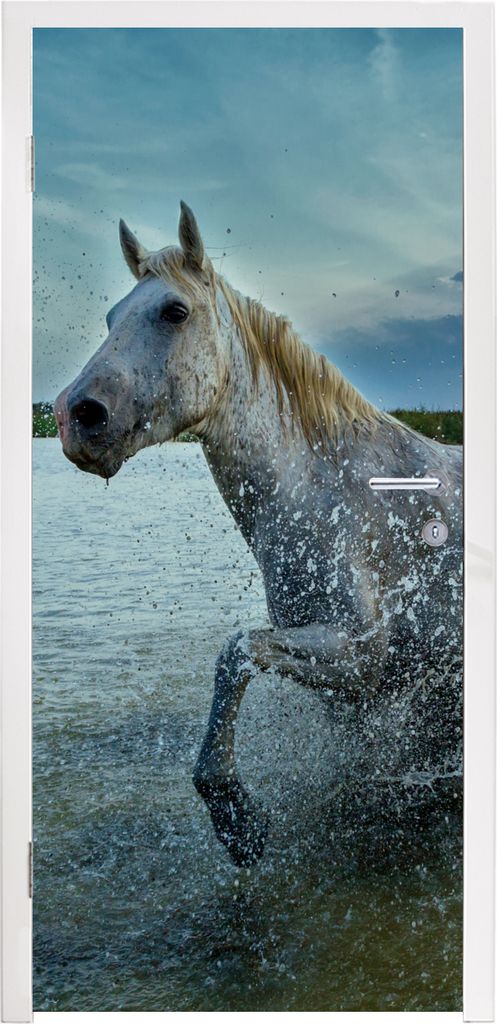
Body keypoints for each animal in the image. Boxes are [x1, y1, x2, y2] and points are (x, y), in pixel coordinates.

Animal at [54, 201, 463, 867]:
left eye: (175, 311)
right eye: (112, 315)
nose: (76, 415)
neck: (330, 493)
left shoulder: (362, 657)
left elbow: (236, 652)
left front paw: (233, 814)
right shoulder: (352, 689)